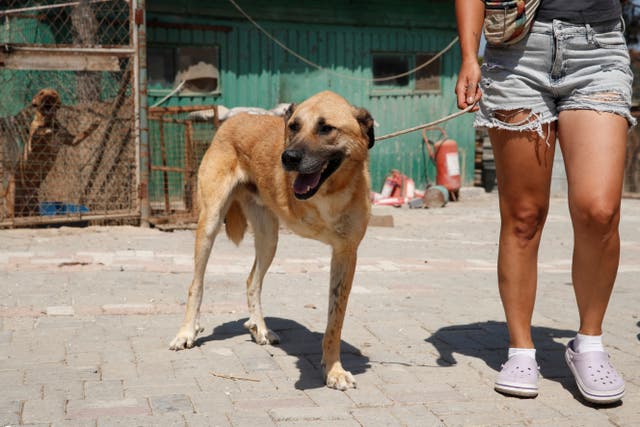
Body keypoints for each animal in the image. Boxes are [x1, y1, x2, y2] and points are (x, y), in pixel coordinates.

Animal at [170, 91, 376, 392]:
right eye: (293, 126)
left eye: (326, 128)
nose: (288, 157)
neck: (328, 193)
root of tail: (236, 118)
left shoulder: (346, 253)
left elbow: (335, 321)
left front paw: (333, 369)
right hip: (210, 222)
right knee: (196, 284)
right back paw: (186, 332)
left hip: (269, 238)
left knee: (252, 281)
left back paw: (260, 328)